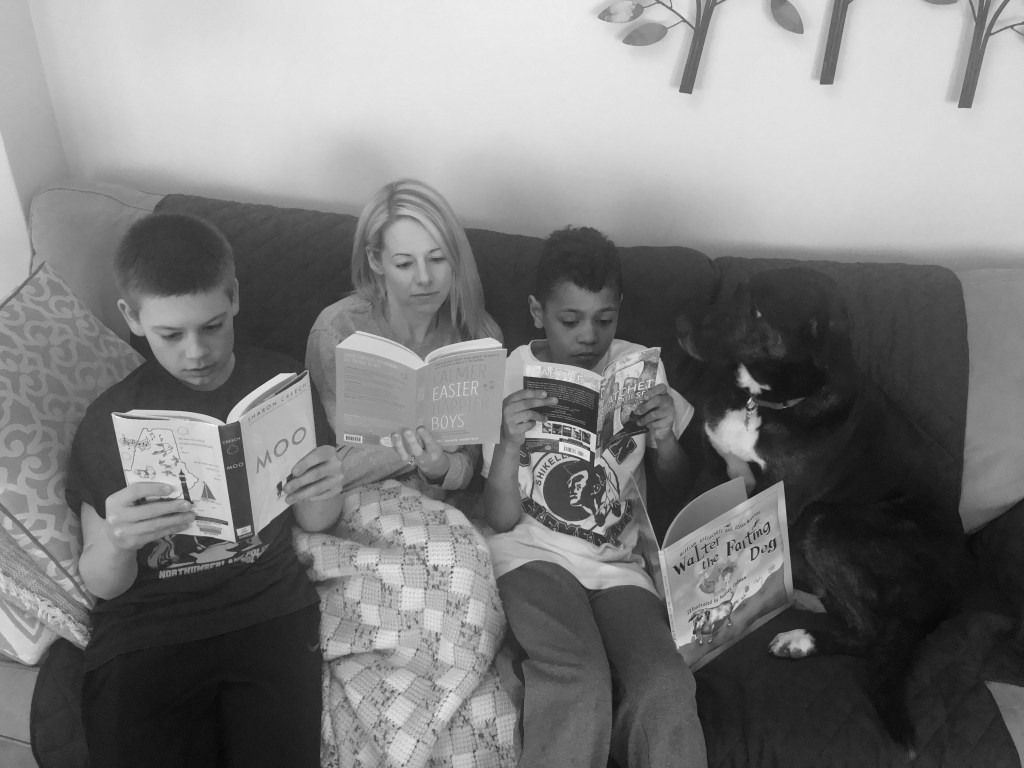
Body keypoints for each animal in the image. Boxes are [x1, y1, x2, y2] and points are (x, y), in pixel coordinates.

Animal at [676, 266, 965, 752]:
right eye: (736, 289)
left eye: (757, 310)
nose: (682, 324)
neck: (761, 401)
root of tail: (949, 596)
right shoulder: (712, 473)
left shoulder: (783, 501)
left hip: (824, 521)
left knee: (869, 630)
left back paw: (802, 639)